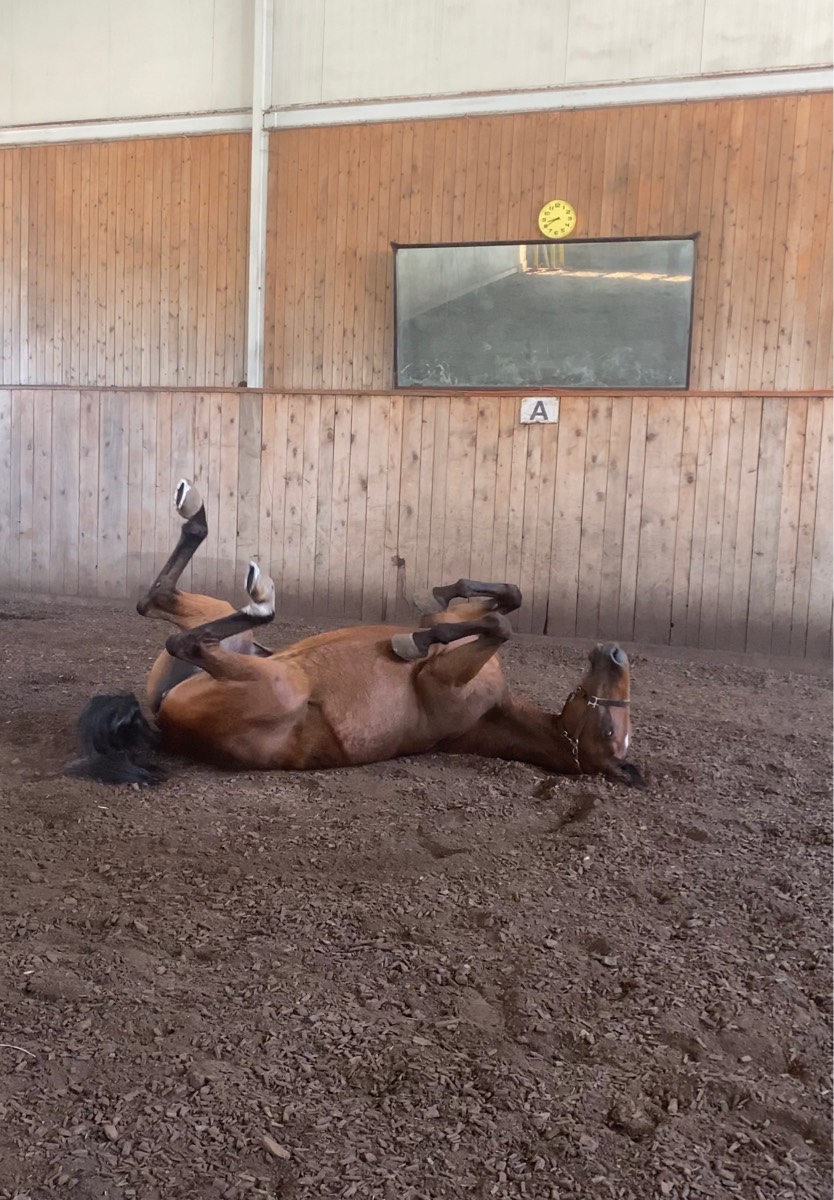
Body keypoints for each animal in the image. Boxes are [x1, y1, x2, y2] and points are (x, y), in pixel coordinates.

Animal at [67, 480, 644, 788]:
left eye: (610, 733)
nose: (614, 652)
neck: (491, 712)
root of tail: (158, 725)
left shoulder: (442, 677)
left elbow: (496, 625)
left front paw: (410, 643)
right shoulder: (453, 643)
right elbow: (502, 601)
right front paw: (442, 595)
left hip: (274, 680)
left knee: (183, 634)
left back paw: (258, 593)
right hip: (231, 640)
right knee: (156, 601)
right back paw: (197, 511)